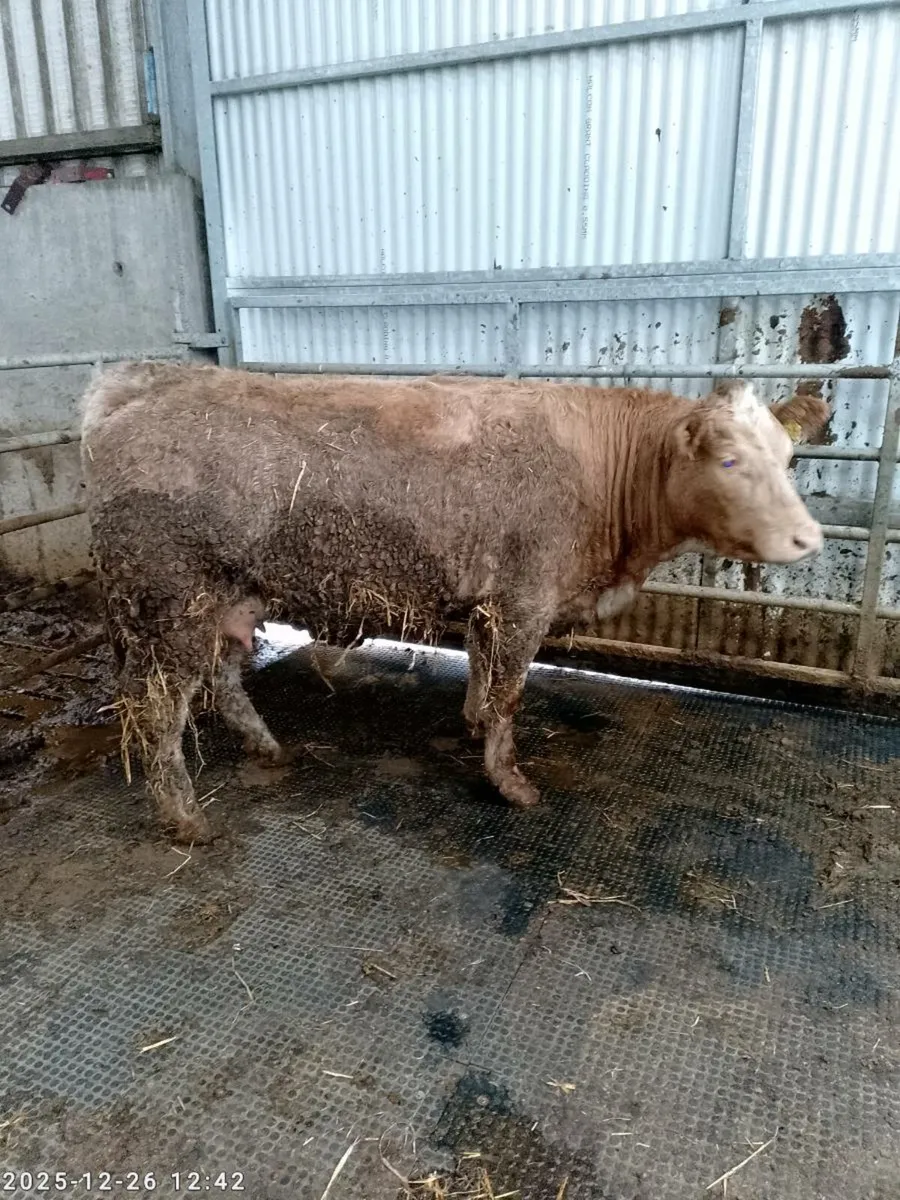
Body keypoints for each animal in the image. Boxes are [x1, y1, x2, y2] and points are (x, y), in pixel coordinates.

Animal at [80, 363, 828, 843]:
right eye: (729, 461)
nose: (809, 538)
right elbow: (509, 693)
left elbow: (479, 669)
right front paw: (509, 782)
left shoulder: (490, 602)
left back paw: (265, 746)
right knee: (159, 712)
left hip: (224, 602)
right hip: (169, 603)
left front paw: (471, 724)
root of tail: (138, 386)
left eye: (788, 457)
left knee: (224, 680)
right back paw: (185, 819)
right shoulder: (524, 599)